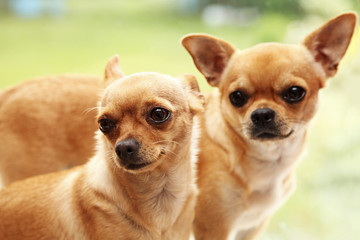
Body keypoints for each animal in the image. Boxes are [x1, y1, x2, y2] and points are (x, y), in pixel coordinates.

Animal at [181, 12, 356, 239]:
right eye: (236, 97)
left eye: (294, 92)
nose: (262, 114)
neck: (270, 160)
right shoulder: (213, 227)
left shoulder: (252, 226)